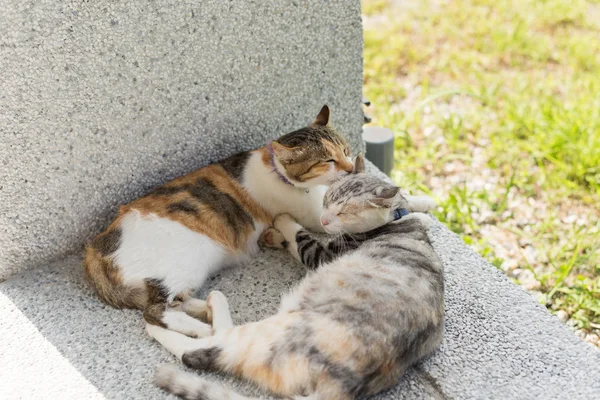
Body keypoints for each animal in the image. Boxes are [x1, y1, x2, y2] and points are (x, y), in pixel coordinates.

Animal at [82, 106, 354, 338]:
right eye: (327, 161)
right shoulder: (316, 216)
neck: (277, 171)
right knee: (156, 311)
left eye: (345, 150)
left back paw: (210, 307)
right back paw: (204, 329)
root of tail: (95, 248)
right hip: (184, 264)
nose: (351, 168)